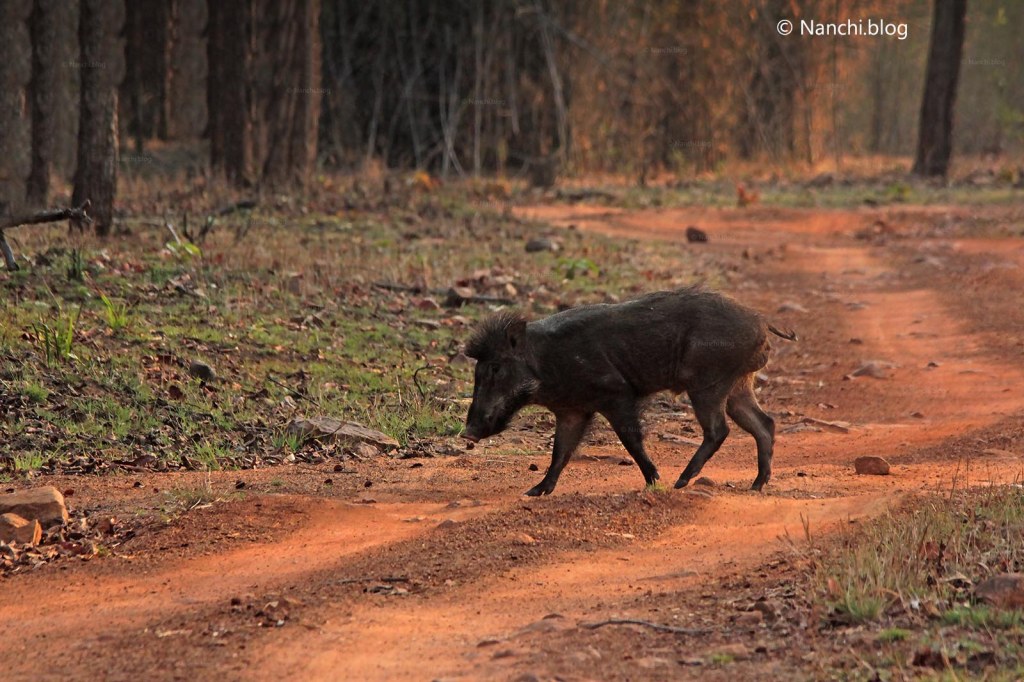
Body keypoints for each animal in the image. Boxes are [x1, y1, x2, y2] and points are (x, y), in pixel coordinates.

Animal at [461, 286, 796, 496]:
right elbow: (560, 452)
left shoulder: (617, 395)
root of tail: (762, 321)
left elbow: (630, 441)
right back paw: (756, 486)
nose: (467, 433)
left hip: (708, 385)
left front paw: (654, 482)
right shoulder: (573, 411)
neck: (544, 363)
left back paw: (680, 482)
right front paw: (534, 492)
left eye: (495, 368)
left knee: (719, 430)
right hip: (738, 386)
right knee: (765, 424)